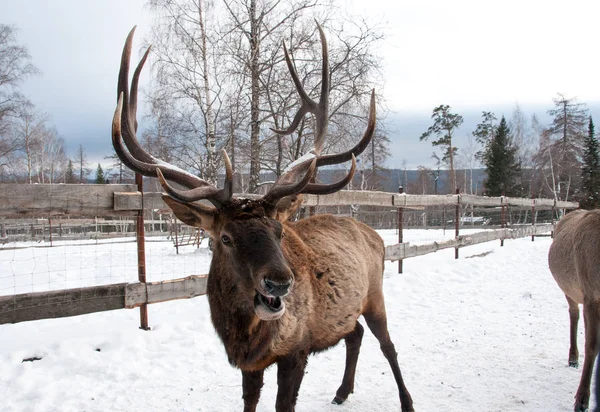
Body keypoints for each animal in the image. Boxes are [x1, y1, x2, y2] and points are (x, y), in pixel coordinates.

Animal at [548, 211, 600, 410]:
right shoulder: (591, 294)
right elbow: (592, 345)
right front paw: (582, 400)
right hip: (570, 289)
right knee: (574, 314)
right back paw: (573, 358)